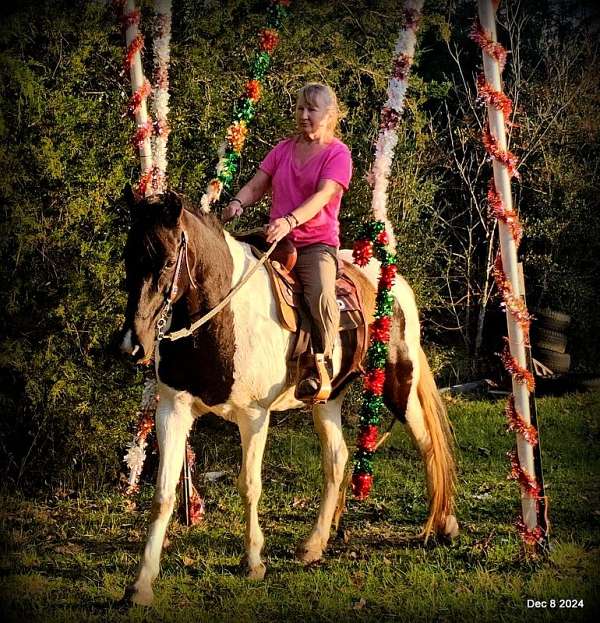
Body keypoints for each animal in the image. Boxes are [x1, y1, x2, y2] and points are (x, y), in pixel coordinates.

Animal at [117, 189, 458, 604]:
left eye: (168, 261)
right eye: (128, 257)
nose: (133, 346)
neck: (220, 318)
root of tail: (394, 280)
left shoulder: (253, 416)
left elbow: (249, 485)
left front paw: (253, 563)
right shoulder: (173, 409)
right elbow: (163, 494)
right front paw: (142, 583)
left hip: (398, 383)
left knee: (426, 444)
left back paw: (444, 524)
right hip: (328, 399)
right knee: (337, 458)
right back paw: (314, 544)